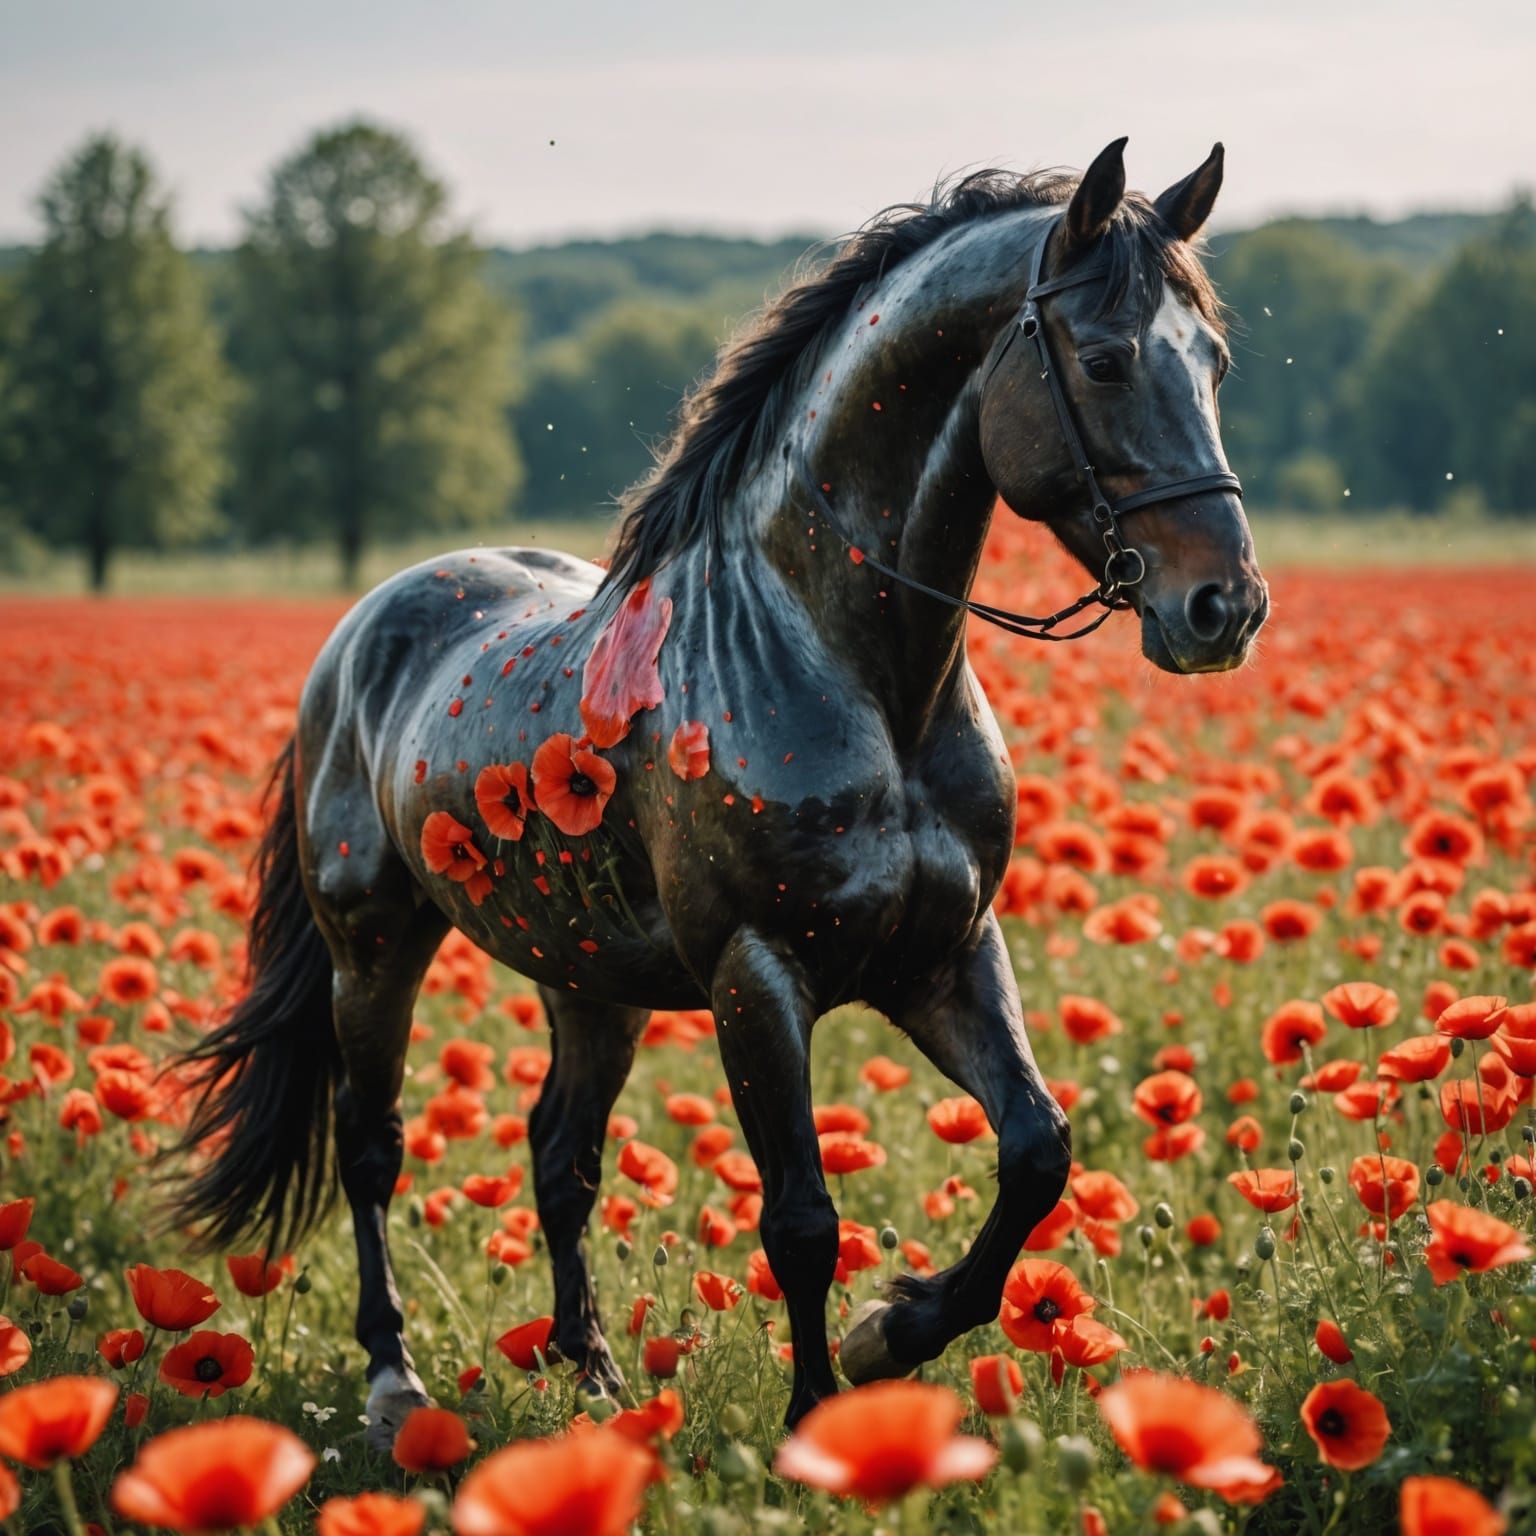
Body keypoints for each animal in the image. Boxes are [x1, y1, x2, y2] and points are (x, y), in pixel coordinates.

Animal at [172, 137, 1268, 1448]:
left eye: (1213, 362)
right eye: (1103, 359)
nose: (1224, 608)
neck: (854, 672)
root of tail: (362, 631)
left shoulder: (947, 955)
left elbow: (1038, 1150)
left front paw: (895, 1329)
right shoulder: (760, 976)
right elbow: (800, 1219)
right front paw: (818, 1417)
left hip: (589, 978)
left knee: (560, 1155)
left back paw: (594, 1375)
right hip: (373, 948)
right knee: (372, 1145)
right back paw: (396, 1382)